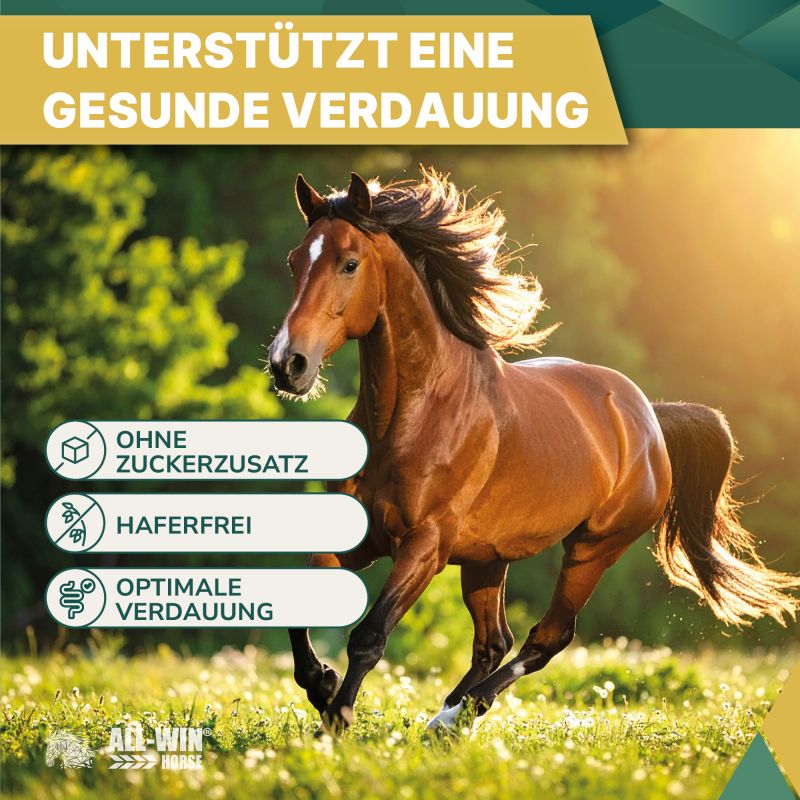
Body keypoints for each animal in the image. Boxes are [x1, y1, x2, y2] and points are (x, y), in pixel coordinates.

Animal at [268, 168, 798, 732]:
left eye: (349, 263)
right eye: (295, 260)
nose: (288, 363)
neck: (413, 417)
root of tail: (650, 419)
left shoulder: (424, 546)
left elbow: (370, 636)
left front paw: (336, 719)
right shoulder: (357, 534)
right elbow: (300, 605)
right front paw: (322, 685)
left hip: (591, 550)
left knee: (546, 639)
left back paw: (454, 716)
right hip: (487, 559)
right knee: (493, 642)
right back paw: (449, 717)